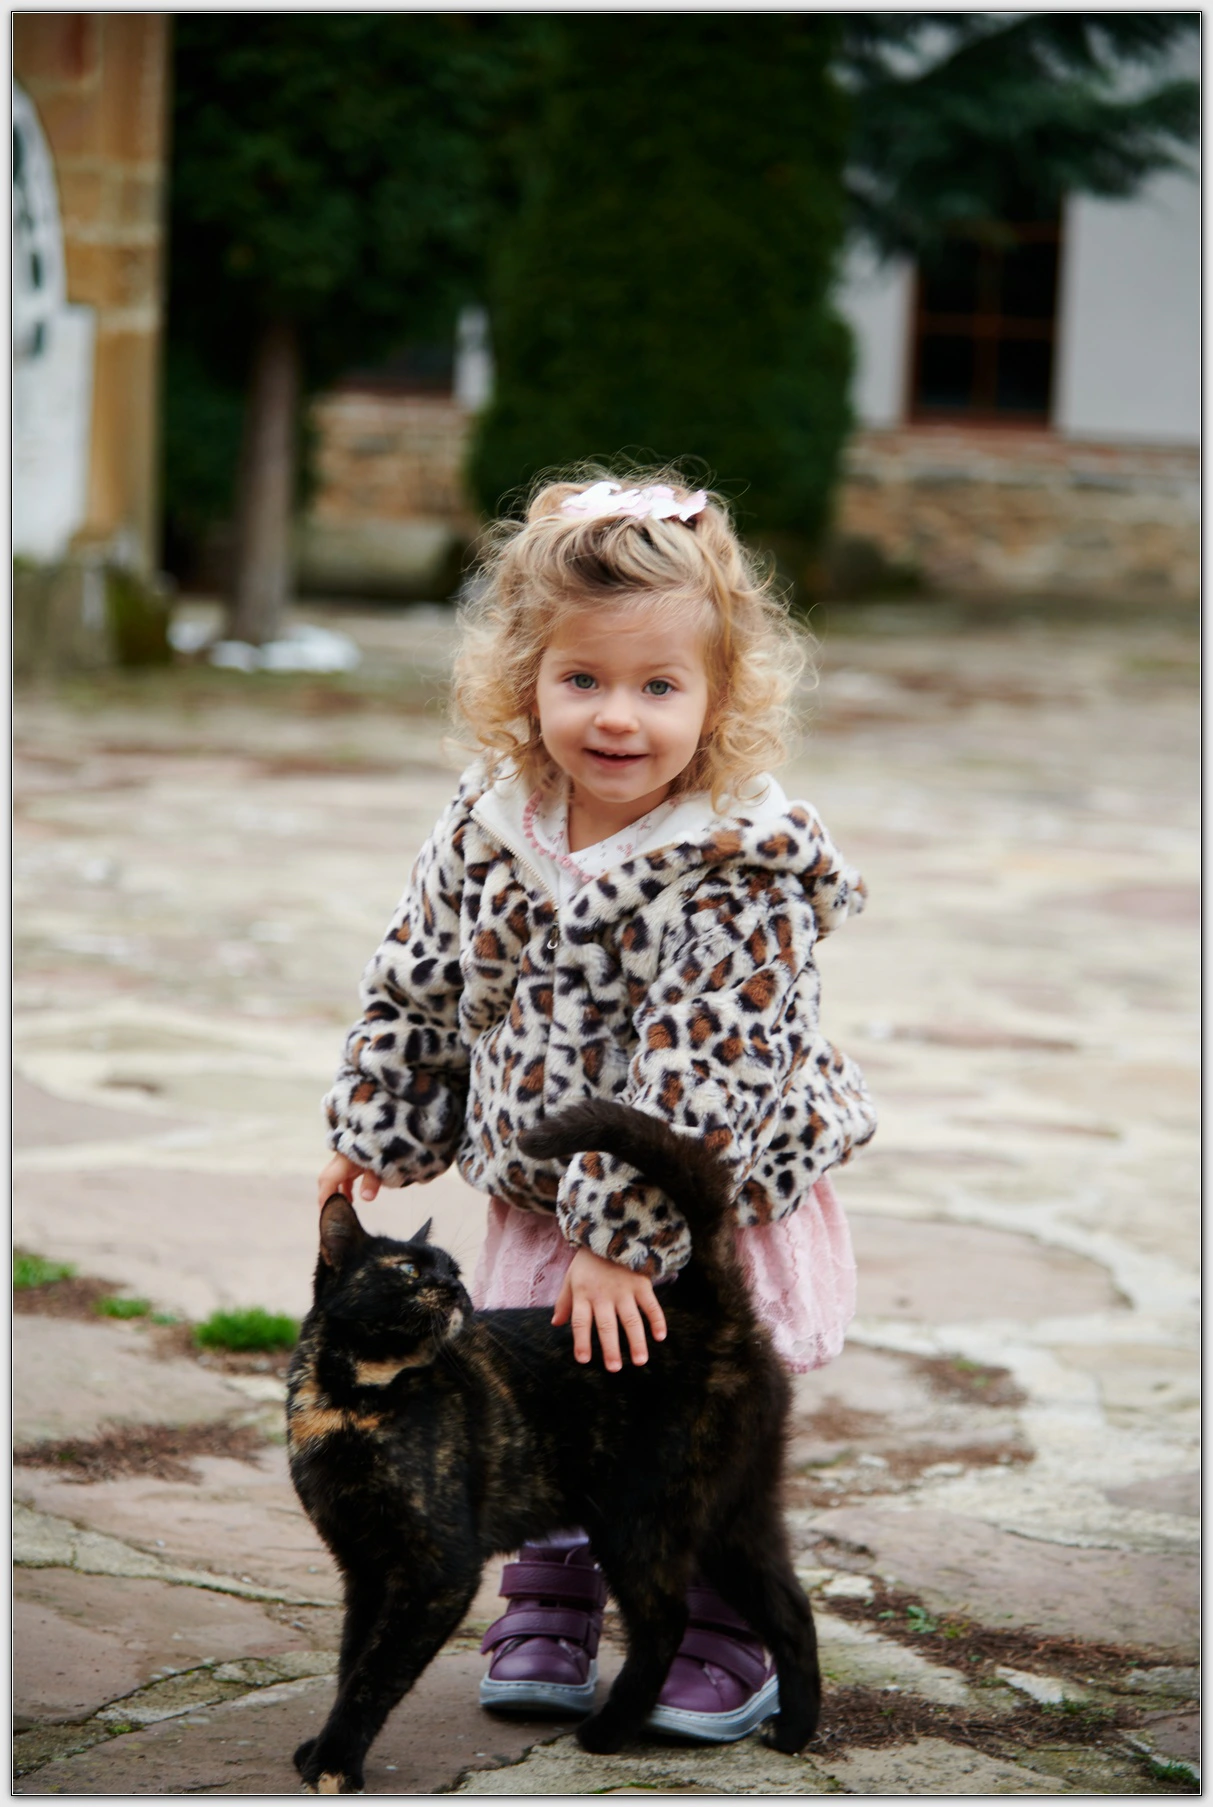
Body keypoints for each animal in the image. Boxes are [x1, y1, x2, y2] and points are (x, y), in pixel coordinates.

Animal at [286, 1099, 820, 1793]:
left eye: (452, 1270)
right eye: (408, 1270)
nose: (456, 1291)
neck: (354, 1403)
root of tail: (708, 1307)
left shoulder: (437, 1569)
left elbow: (377, 1673)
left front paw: (336, 1761)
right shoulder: (364, 1565)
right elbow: (352, 1658)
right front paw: (324, 1748)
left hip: (642, 1519)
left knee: (666, 1621)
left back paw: (608, 1733)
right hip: (736, 1515)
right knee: (792, 1610)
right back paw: (794, 1732)